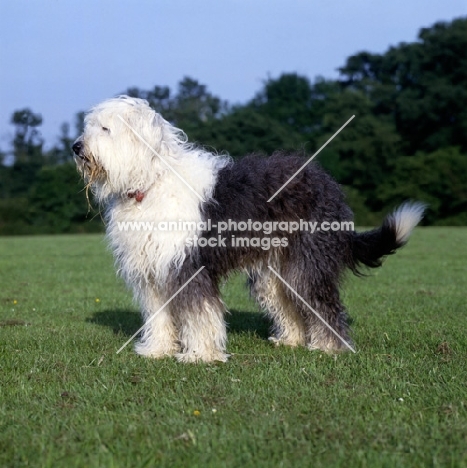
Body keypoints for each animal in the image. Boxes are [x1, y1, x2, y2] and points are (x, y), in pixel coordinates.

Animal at [71, 97, 426, 364]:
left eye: (106, 128)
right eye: (90, 126)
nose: (76, 146)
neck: (152, 180)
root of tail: (329, 184)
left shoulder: (187, 265)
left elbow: (199, 313)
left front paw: (200, 355)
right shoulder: (153, 270)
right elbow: (159, 315)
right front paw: (157, 350)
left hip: (307, 260)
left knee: (323, 302)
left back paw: (328, 346)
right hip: (274, 270)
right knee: (287, 303)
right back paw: (291, 340)